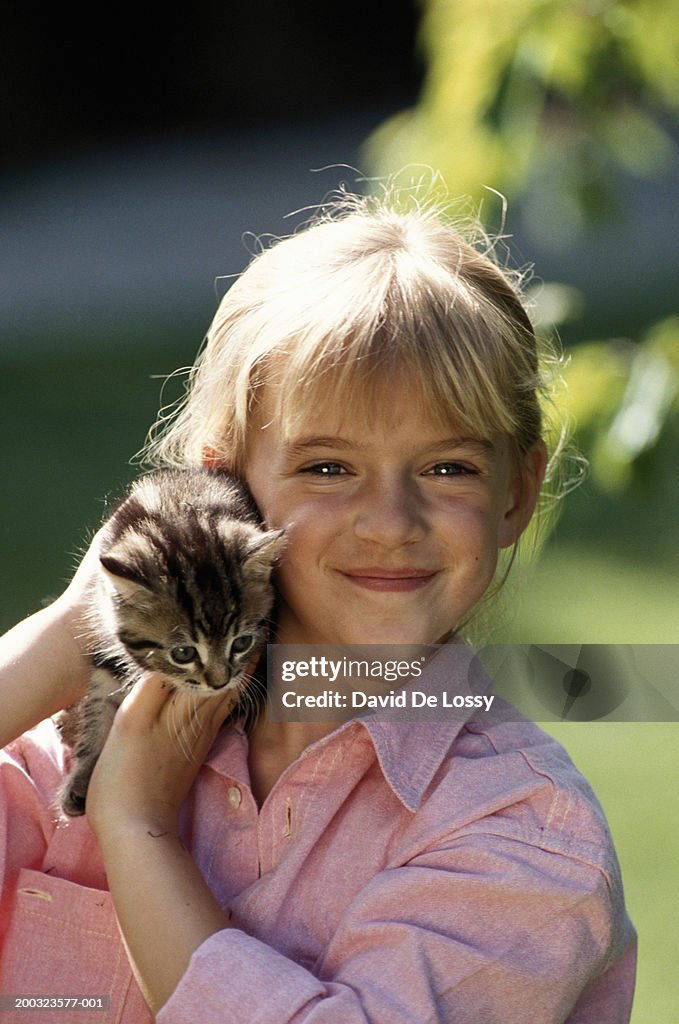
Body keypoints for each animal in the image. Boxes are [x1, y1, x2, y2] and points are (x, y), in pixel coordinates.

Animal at [55, 468, 284, 815]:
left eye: (241, 643)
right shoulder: (104, 627)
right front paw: (83, 775)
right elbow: (99, 704)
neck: (180, 509)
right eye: (184, 653)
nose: (219, 683)